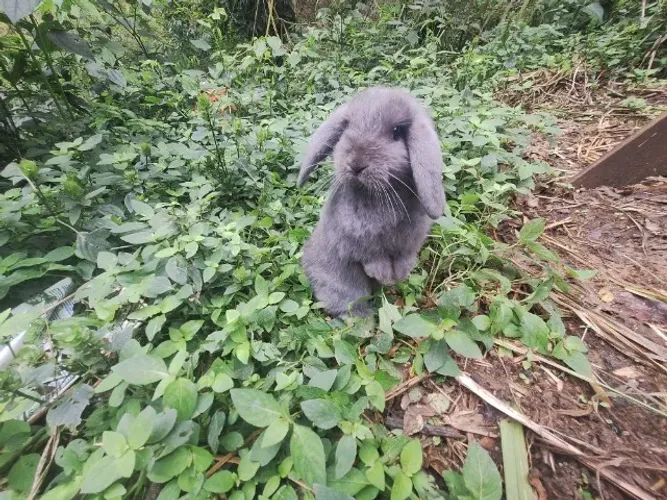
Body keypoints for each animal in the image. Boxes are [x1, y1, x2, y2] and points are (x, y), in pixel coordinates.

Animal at [297, 87, 446, 317]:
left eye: (396, 132)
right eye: (346, 127)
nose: (356, 164)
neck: (378, 196)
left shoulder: (409, 243)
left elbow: (404, 257)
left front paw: (399, 275)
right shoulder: (357, 242)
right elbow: (372, 258)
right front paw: (384, 275)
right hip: (344, 286)